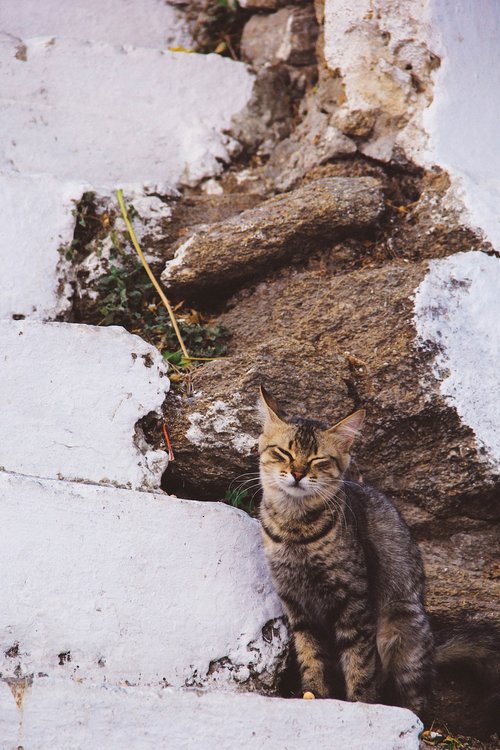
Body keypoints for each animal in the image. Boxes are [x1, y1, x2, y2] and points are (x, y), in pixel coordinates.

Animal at [258, 388, 434, 716]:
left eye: (318, 460)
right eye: (285, 453)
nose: (297, 473)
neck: (295, 531)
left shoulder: (354, 604)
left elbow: (359, 664)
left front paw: (360, 704)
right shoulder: (296, 604)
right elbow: (311, 656)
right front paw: (314, 694)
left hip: (404, 632)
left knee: (417, 697)